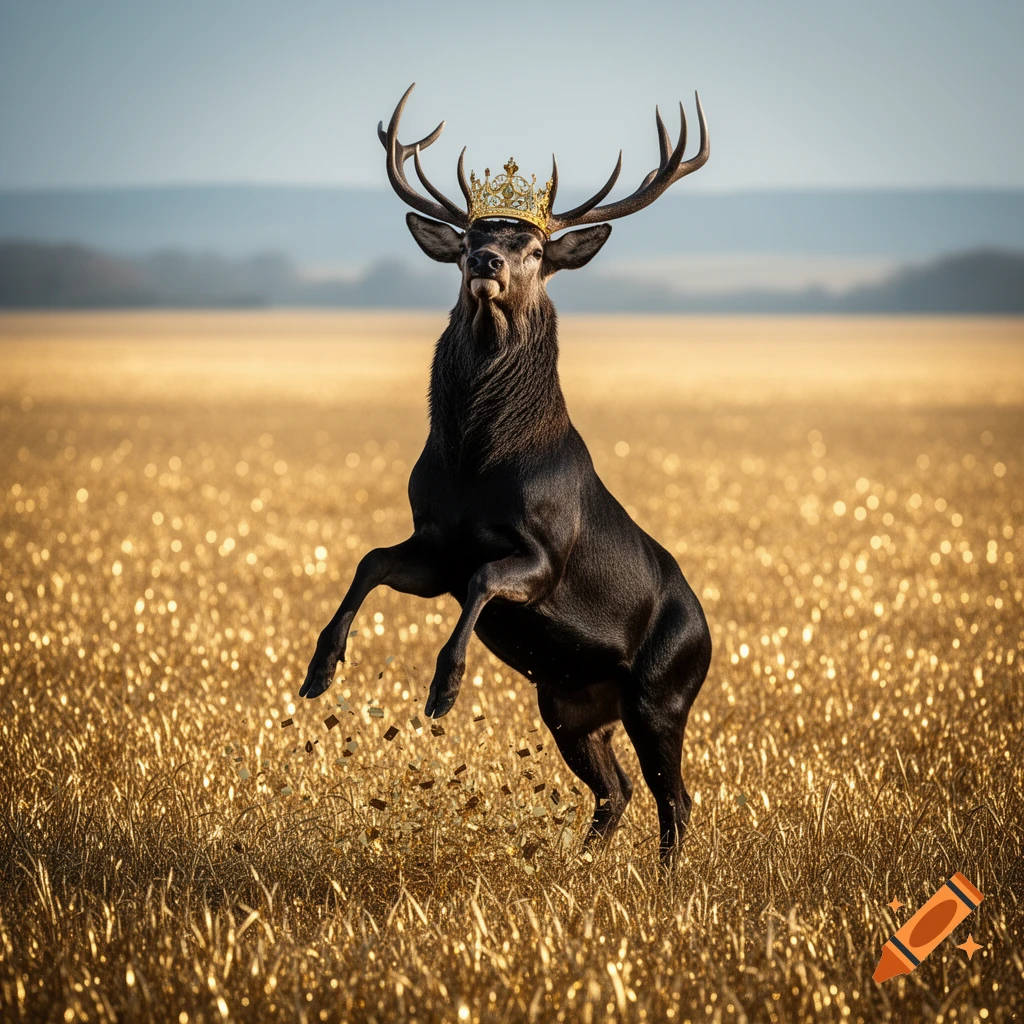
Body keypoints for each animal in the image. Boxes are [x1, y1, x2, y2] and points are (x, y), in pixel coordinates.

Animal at [301, 84, 712, 862]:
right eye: (466, 239)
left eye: (537, 247)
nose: (488, 258)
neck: (476, 461)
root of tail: (710, 637)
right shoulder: (436, 544)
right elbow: (372, 560)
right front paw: (318, 670)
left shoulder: (543, 553)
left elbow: (487, 579)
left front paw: (442, 690)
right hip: (570, 704)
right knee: (617, 790)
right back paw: (581, 865)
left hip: (661, 693)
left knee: (676, 798)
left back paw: (667, 881)